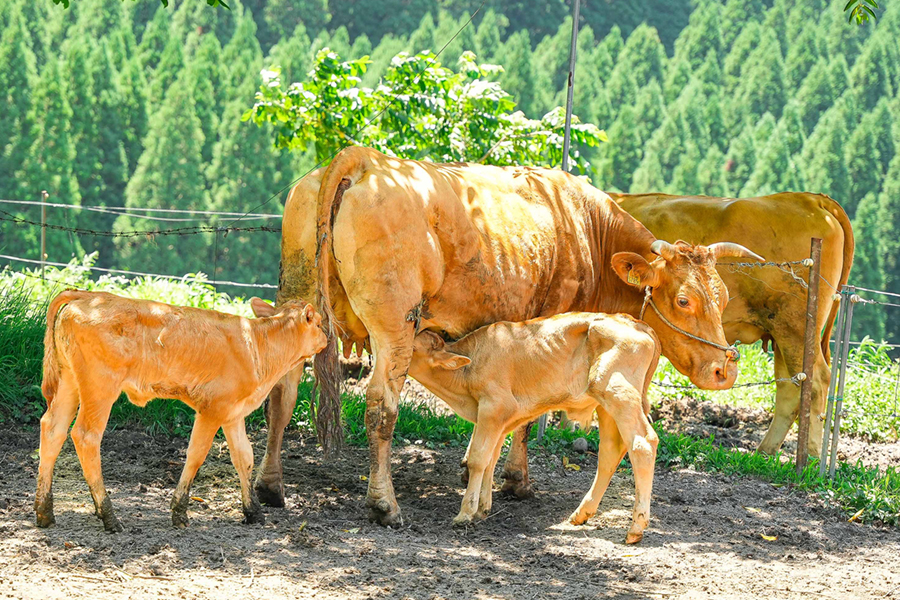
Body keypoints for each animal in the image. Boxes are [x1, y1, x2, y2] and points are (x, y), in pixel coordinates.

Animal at [38, 290, 328, 528]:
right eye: (318, 322)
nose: (327, 337)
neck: (257, 344)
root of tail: (87, 295)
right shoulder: (213, 409)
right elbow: (196, 454)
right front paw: (179, 511)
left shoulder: (233, 413)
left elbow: (244, 457)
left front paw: (253, 511)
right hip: (99, 387)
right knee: (86, 436)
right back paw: (109, 516)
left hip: (69, 381)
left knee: (52, 429)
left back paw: (44, 511)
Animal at [410, 314, 660, 544]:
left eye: (412, 348)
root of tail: (637, 323)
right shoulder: (500, 421)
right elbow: (491, 459)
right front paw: (483, 509)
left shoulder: (494, 408)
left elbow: (477, 459)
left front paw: (465, 513)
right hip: (606, 404)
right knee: (611, 450)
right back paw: (581, 513)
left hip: (618, 393)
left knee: (643, 443)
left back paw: (636, 527)